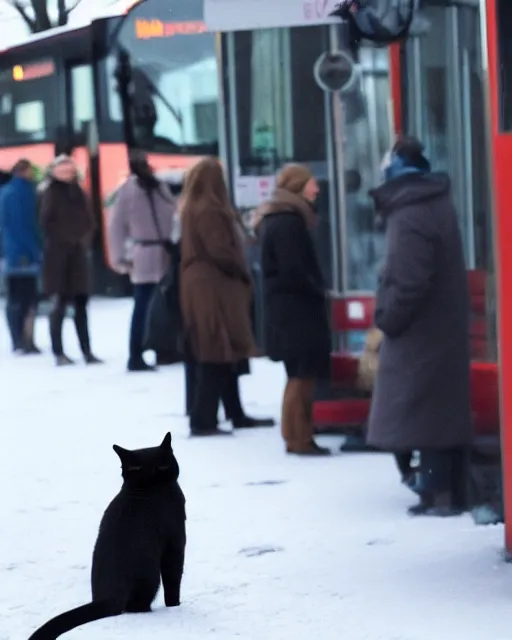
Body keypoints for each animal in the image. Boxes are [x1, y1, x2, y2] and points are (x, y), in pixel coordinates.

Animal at [28, 432, 186, 636]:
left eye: (162, 466)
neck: (148, 488)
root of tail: (106, 596)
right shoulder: (176, 541)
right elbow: (174, 579)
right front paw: (176, 606)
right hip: (151, 577)